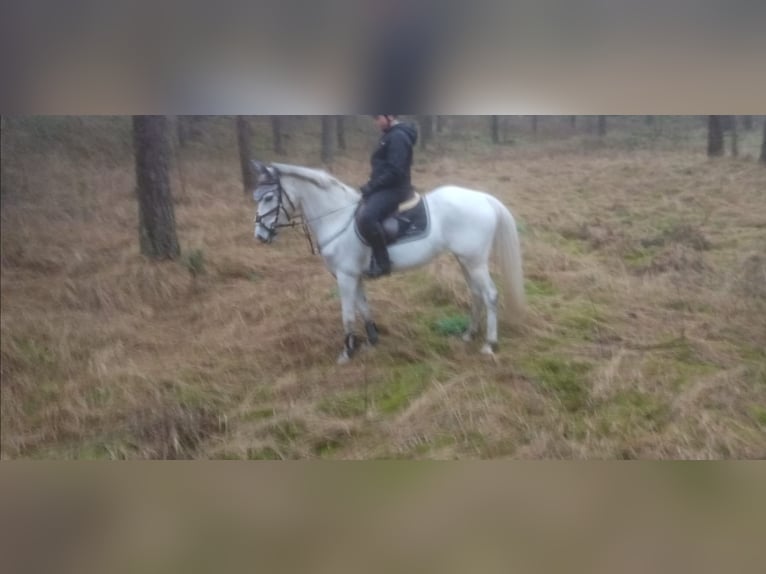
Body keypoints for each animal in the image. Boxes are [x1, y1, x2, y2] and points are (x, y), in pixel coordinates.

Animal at [250, 160, 524, 364]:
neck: (337, 217)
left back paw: (489, 344)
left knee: (490, 295)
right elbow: (363, 307)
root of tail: (485, 199)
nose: (260, 236)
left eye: (268, 197)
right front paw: (372, 340)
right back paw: (469, 334)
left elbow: (348, 314)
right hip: (465, 260)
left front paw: (347, 351)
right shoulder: (355, 276)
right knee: (476, 294)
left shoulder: (345, 277)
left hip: (475, 261)